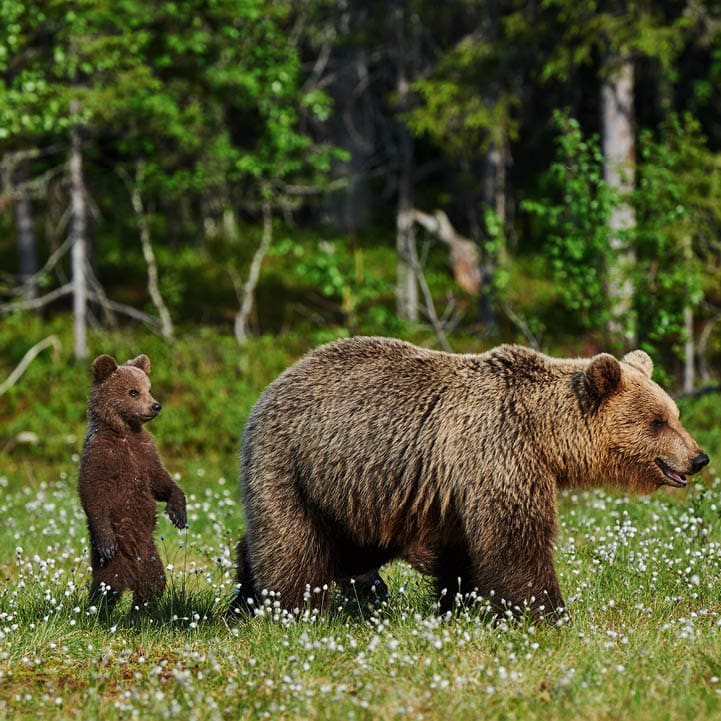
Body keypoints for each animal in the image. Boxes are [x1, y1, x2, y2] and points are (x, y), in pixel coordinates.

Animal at [78, 353, 187, 613]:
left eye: (149, 388)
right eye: (133, 392)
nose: (155, 406)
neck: (125, 431)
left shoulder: (145, 453)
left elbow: (160, 481)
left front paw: (178, 513)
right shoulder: (102, 456)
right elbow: (92, 491)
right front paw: (106, 541)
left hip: (150, 556)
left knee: (153, 584)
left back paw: (139, 612)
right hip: (116, 558)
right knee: (108, 586)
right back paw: (98, 612)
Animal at [233, 337, 709, 618]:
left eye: (675, 414)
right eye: (658, 421)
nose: (699, 457)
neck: (544, 434)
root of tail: (272, 385)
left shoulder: (455, 484)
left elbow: (461, 549)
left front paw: (459, 603)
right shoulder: (497, 452)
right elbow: (515, 540)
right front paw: (548, 613)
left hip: (353, 494)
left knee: (344, 549)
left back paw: (243, 596)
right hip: (295, 465)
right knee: (293, 545)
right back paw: (288, 609)